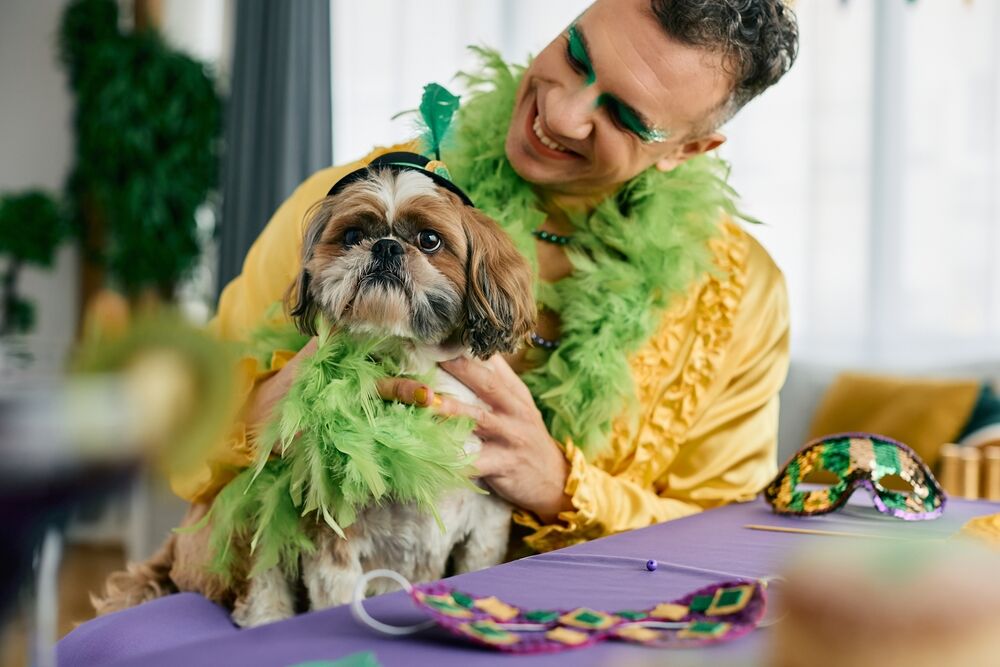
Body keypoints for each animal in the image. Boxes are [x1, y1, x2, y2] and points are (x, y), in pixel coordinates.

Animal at [97, 154, 540, 628]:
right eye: (352, 236)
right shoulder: (334, 535)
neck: (408, 363)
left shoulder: (485, 526)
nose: (385, 247)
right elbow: (335, 596)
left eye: (430, 239)